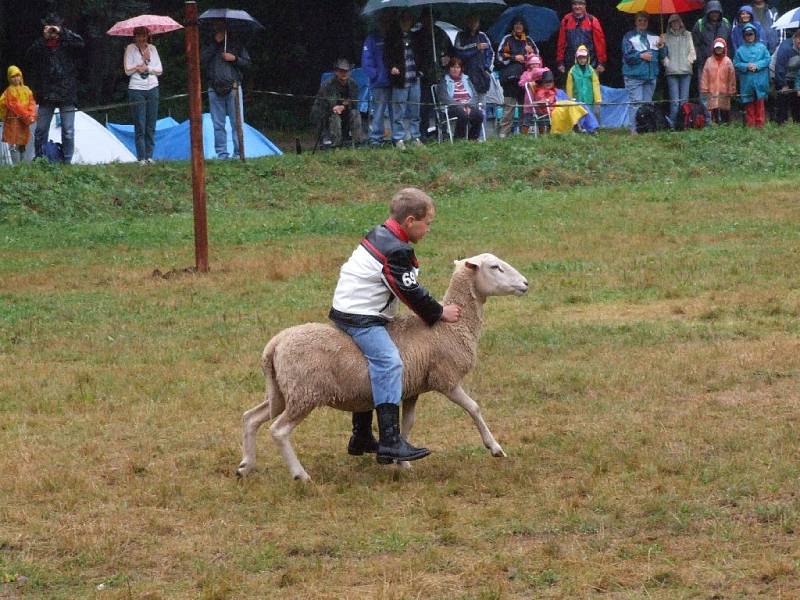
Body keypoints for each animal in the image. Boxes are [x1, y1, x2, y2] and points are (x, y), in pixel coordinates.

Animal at [234, 253, 528, 482]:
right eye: (495, 267)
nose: (525, 283)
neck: (451, 327)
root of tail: (274, 345)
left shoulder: (412, 387)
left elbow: (406, 423)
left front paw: (403, 460)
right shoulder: (445, 380)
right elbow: (474, 408)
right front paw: (495, 447)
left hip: (283, 392)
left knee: (251, 418)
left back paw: (246, 466)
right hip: (305, 392)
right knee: (278, 431)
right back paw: (300, 475)